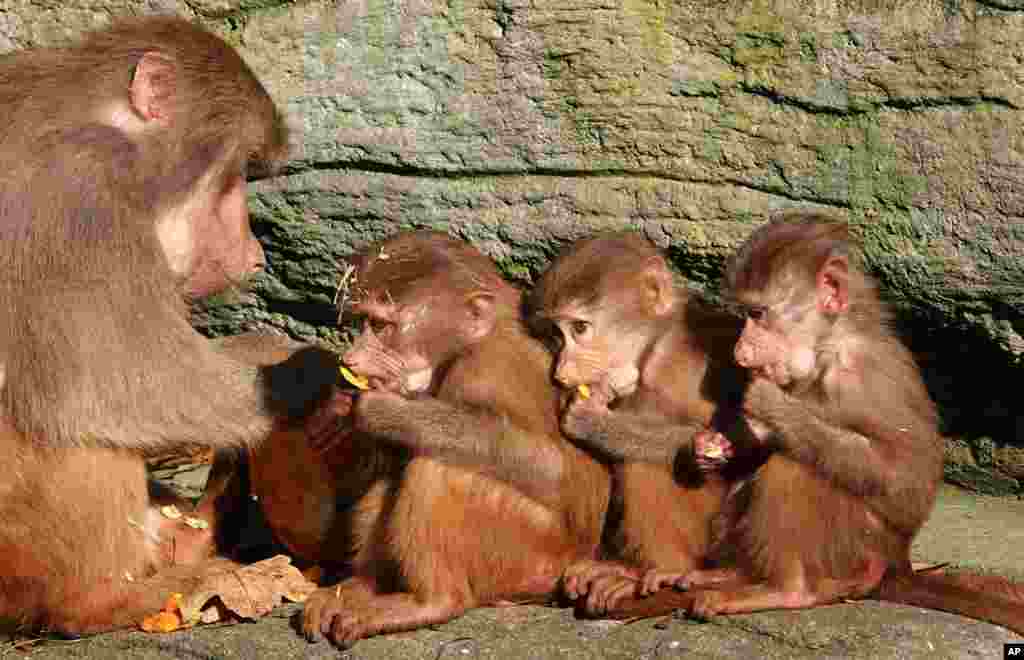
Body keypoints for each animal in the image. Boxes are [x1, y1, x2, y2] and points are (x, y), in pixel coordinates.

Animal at [0, 15, 292, 634]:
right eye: (233, 177)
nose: (255, 256)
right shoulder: (76, 190)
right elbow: (122, 383)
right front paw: (295, 367)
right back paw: (108, 598)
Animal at [299, 233, 614, 646]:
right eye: (361, 322)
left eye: (381, 326)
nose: (350, 360)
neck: (471, 342)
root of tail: (578, 558)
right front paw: (336, 413)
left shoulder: (484, 373)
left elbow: (548, 466)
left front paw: (385, 411)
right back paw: (362, 586)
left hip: (527, 558)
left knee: (441, 464)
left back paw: (433, 601)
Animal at [528, 234, 761, 613]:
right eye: (556, 335)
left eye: (580, 328)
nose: (562, 372)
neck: (654, 351)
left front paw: (594, 422)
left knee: (645, 461)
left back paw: (661, 569)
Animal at [577, 210, 1024, 634]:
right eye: (745, 315)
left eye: (758, 313)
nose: (741, 352)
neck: (827, 346)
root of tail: (896, 563)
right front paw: (714, 445)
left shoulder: (860, 372)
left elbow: (904, 480)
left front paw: (773, 407)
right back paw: (725, 574)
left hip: (854, 548)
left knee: (797, 465)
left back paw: (787, 590)